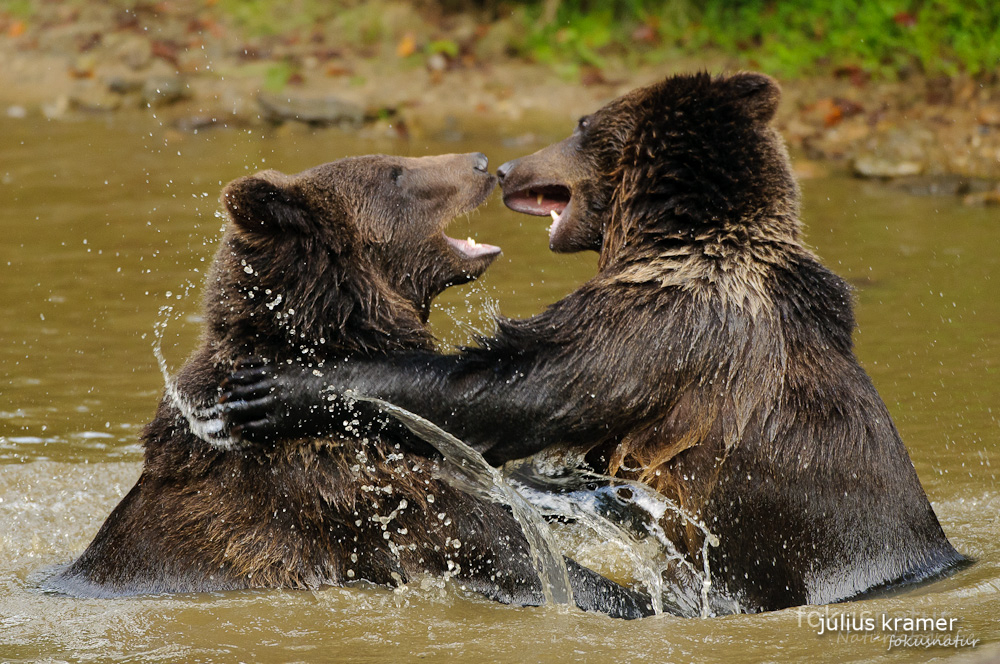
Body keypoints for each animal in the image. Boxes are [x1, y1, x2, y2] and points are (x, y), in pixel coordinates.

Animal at [221, 72, 968, 612]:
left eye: (582, 125)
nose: (509, 165)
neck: (673, 240)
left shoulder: (662, 326)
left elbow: (518, 386)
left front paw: (279, 388)